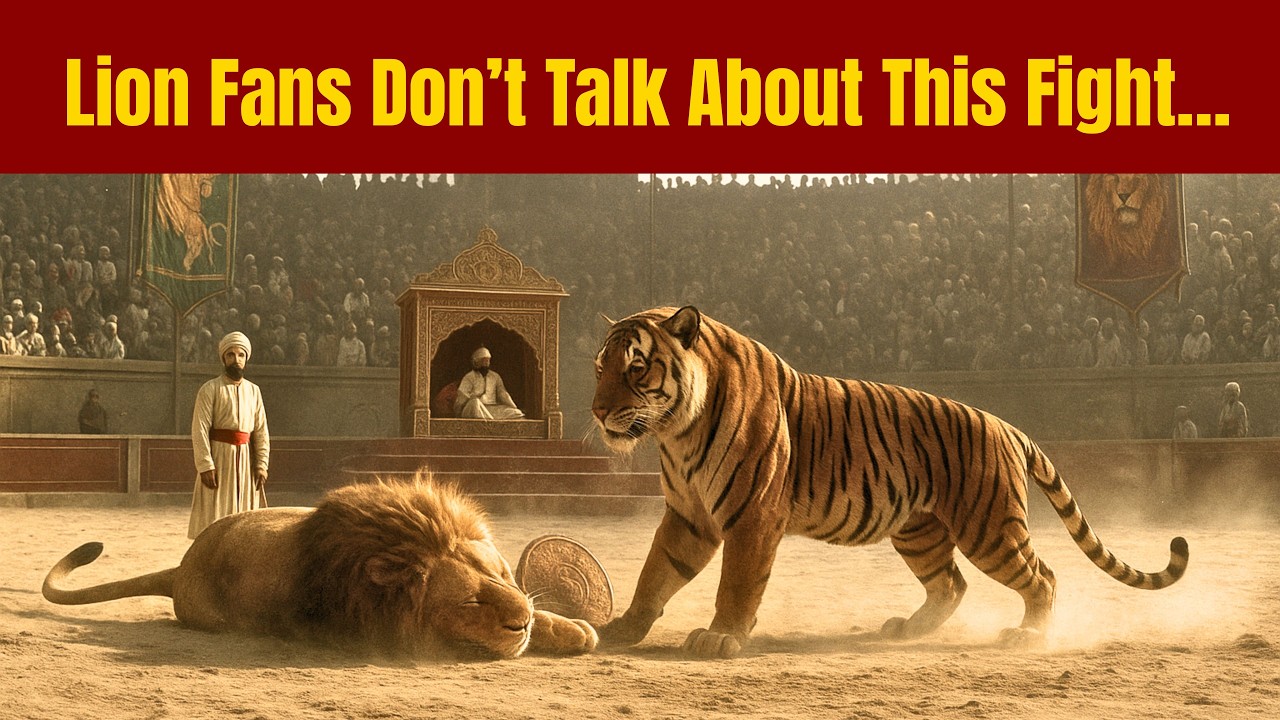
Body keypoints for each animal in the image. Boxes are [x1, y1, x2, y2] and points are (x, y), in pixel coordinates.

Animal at [591, 305, 1189, 658]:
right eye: (600, 367)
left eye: (637, 367)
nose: (597, 411)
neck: (676, 431)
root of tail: (1007, 425)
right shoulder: (689, 515)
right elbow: (655, 573)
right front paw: (624, 627)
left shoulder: (751, 515)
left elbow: (736, 583)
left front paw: (720, 637)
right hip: (919, 530)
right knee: (951, 584)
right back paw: (909, 629)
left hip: (989, 528)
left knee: (1042, 576)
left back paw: (1029, 635)